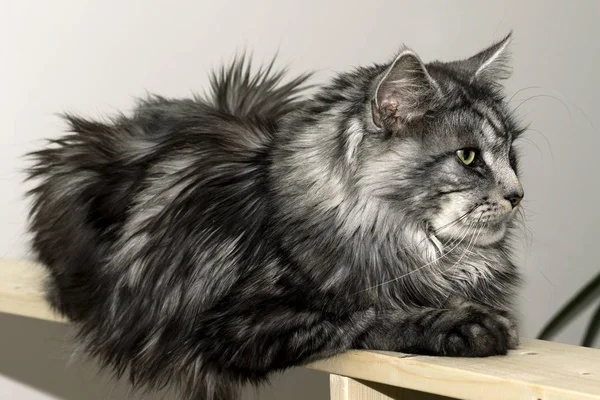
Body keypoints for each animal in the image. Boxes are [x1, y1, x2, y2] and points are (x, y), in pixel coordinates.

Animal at [25, 32, 524, 398]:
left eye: (511, 155)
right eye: (467, 156)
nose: (518, 194)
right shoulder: (238, 327)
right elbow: (368, 315)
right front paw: (468, 324)